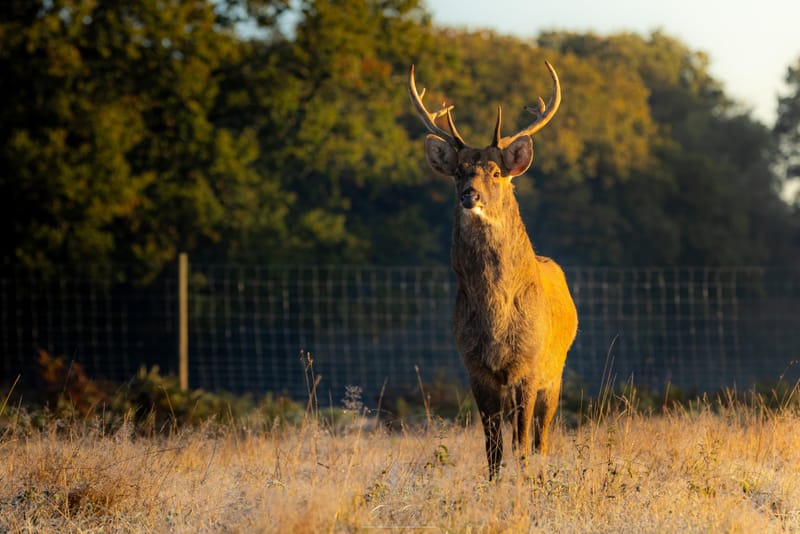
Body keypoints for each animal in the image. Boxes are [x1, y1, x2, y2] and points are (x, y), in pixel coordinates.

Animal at [408, 61, 578, 480]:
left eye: (496, 172)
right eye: (458, 172)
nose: (470, 194)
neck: (495, 318)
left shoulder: (528, 364)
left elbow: (522, 443)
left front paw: (524, 481)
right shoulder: (475, 367)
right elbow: (493, 448)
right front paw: (495, 484)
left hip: (556, 370)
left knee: (541, 437)